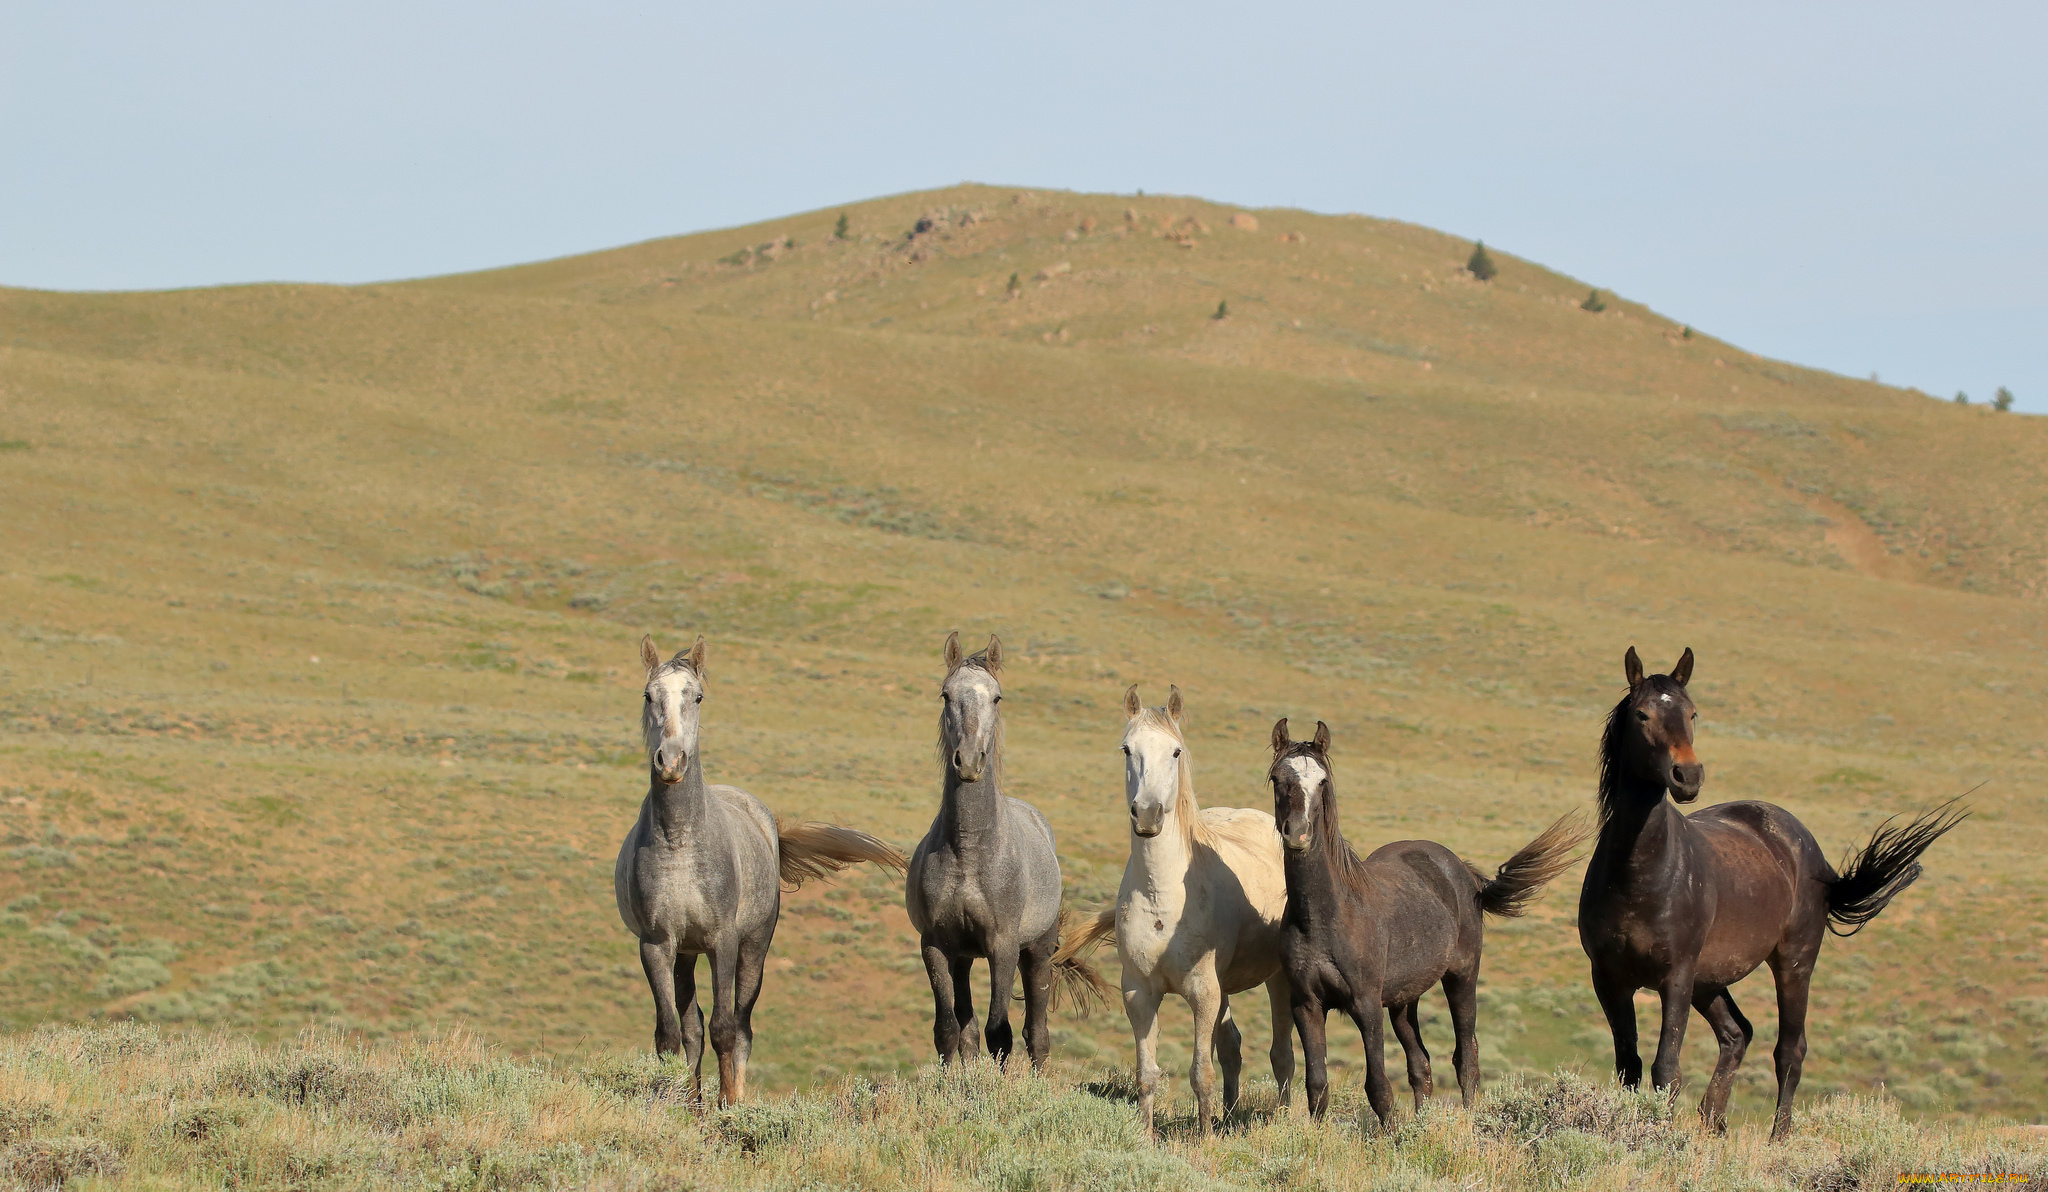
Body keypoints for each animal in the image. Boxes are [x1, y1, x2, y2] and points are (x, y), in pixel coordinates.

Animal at [606, 639, 897, 1105]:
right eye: (648, 695)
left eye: (697, 697)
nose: (671, 761)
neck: (679, 843)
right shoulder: (656, 944)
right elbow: (669, 1035)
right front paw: (673, 1103)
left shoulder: (722, 941)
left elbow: (725, 1029)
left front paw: (728, 1106)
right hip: (686, 953)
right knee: (691, 1027)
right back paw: (695, 1102)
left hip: (754, 947)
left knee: (740, 1027)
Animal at [909, 634, 1114, 1073]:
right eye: (946, 694)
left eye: (997, 697)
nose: (969, 761)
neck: (969, 851)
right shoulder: (935, 945)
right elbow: (948, 1030)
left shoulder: (1002, 947)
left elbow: (999, 1032)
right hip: (964, 958)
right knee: (967, 1029)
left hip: (1035, 953)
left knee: (1036, 1033)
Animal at [1064, 688, 1286, 1138]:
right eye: (1127, 749)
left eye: (1176, 751)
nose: (1148, 814)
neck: (1163, 900)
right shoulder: (1139, 992)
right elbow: (1147, 1074)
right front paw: (1147, 1137)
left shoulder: (1203, 992)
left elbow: (1201, 1072)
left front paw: (1205, 1141)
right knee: (1233, 1047)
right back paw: (1229, 1117)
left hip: (1274, 980)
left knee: (1283, 1053)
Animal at [1261, 720, 1581, 1130]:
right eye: (1277, 778)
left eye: (1323, 781)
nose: (1298, 834)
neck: (1326, 916)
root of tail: (1464, 874)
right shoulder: (1306, 1005)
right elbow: (1317, 1085)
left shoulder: (1366, 1004)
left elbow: (1379, 1087)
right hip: (1403, 1002)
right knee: (1421, 1065)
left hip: (1461, 978)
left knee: (1466, 1058)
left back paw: (1467, 1122)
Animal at [1581, 651, 1966, 1146]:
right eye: (1643, 714)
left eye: (1692, 713)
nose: (1688, 776)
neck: (1640, 874)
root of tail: (1809, 848)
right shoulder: (1609, 978)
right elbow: (1628, 1067)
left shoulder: (1676, 977)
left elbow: (1666, 1069)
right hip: (1710, 980)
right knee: (1737, 1033)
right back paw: (1714, 1121)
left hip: (1792, 963)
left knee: (1790, 1049)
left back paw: (1777, 1138)